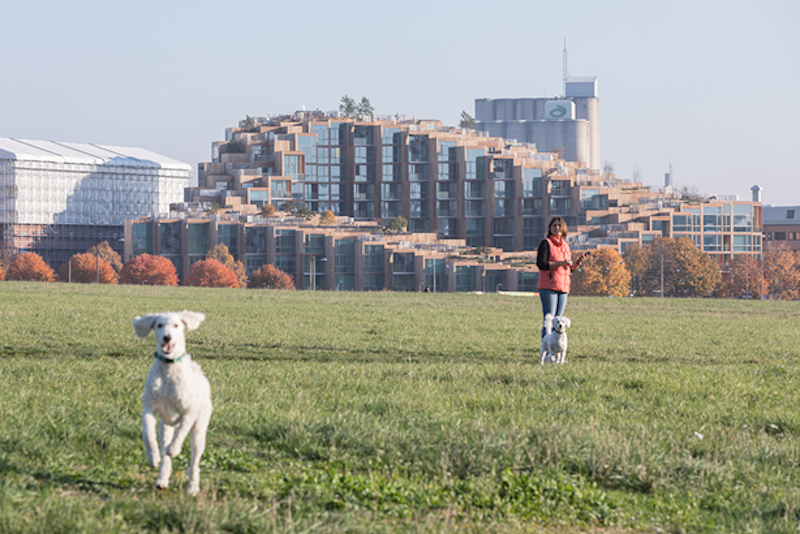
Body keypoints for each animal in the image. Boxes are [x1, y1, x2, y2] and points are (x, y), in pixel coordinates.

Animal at [134, 310, 212, 498]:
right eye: (159, 325)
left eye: (177, 325)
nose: (167, 337)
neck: (169, 369)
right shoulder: (149, 407)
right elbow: (148, 434)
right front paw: (153, 457)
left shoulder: (189, 412)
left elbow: (181, 433)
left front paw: (174, 449)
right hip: (165, 426)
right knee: (166, 456)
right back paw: (162, 479)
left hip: (199, 430)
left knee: (194, 463)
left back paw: (193, 487)